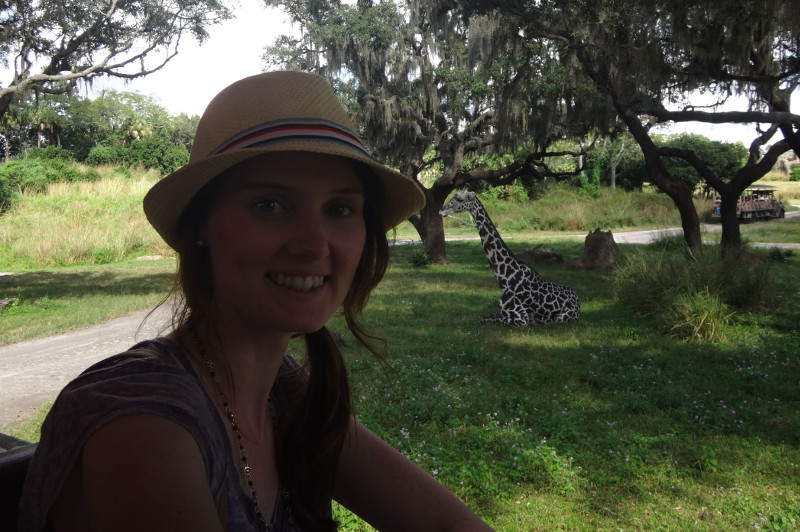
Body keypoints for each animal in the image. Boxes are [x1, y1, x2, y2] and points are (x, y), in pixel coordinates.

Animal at [438, 189, 580, 326]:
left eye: (460, 199)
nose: (441, 210)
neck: (504, 278)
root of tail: (578, 299)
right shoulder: (501, 311)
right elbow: (480, 318)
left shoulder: (521, 318)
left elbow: (496, 320)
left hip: (561, 318)